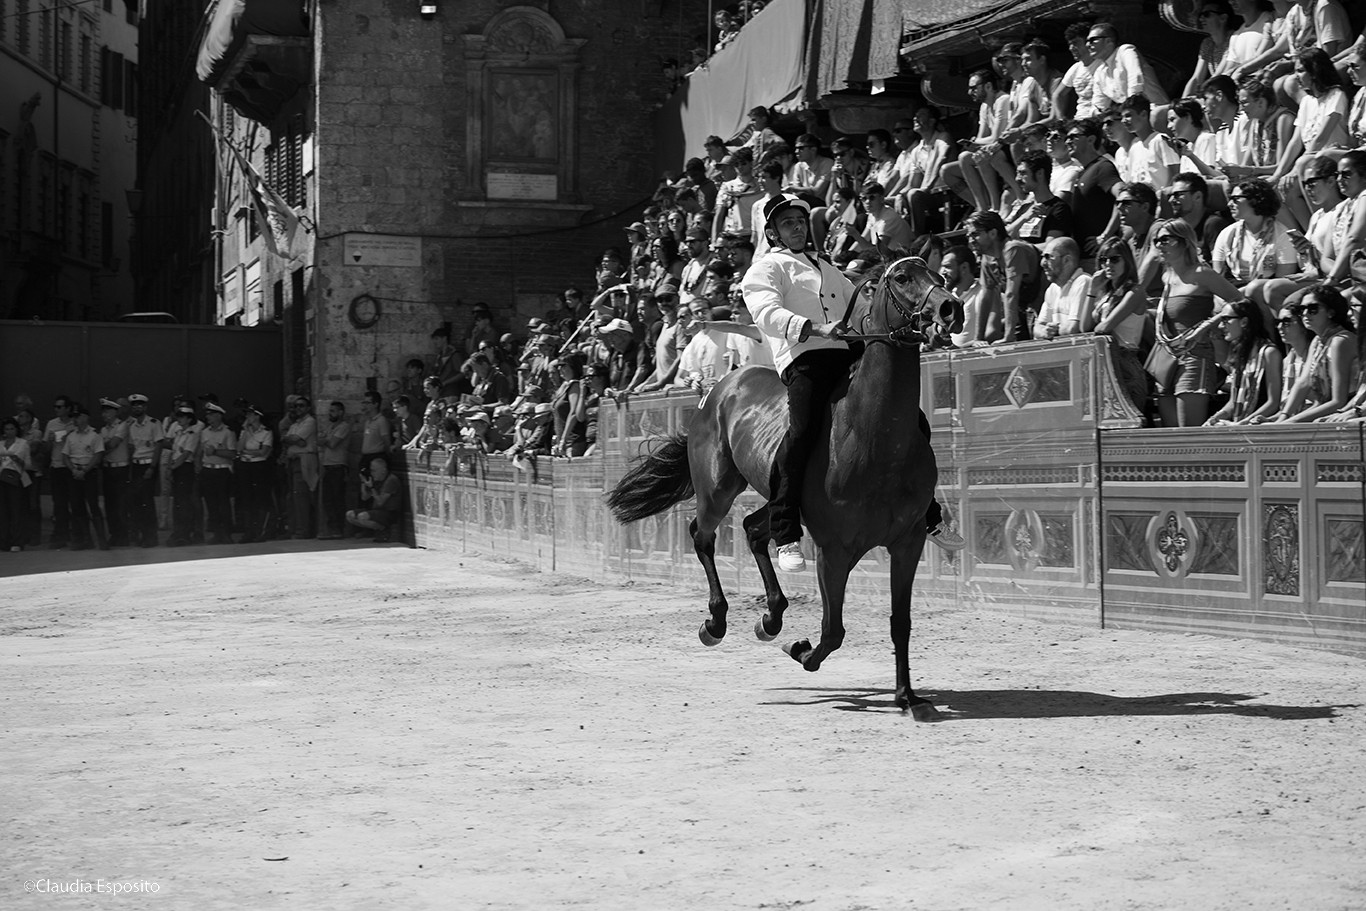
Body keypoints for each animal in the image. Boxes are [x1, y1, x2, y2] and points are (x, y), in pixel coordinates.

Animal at [607, 256, 963, 721]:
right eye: (902, 278)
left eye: (938, 276)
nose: (951, 308)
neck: (873, 438)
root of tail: (720, 386)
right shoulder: (834, 550)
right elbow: (832, 630)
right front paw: (800, 650)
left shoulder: (907, 543)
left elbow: (899, 623)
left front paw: (908, 697)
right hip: (717, 489)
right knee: (702, 536)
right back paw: (716, 623)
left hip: (778, 501)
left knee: (756, 530)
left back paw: (771, 618)